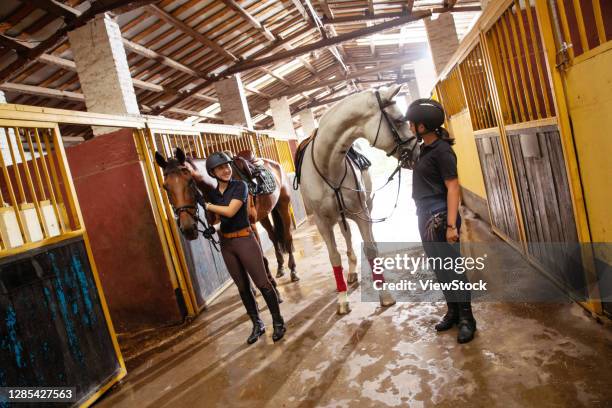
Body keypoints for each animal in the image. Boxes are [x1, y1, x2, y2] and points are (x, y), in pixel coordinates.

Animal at [155, 147, 298, 284]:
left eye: (190, 182)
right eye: (165, 187)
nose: (188, 229)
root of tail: (275, 164)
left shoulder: (250, 225)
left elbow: (260, 258)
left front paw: (269, 282)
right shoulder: (220, 229)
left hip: (283, 206)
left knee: (288, 235)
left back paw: (293, 271)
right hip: (264, 215)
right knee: (273, 236)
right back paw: (280, 268)